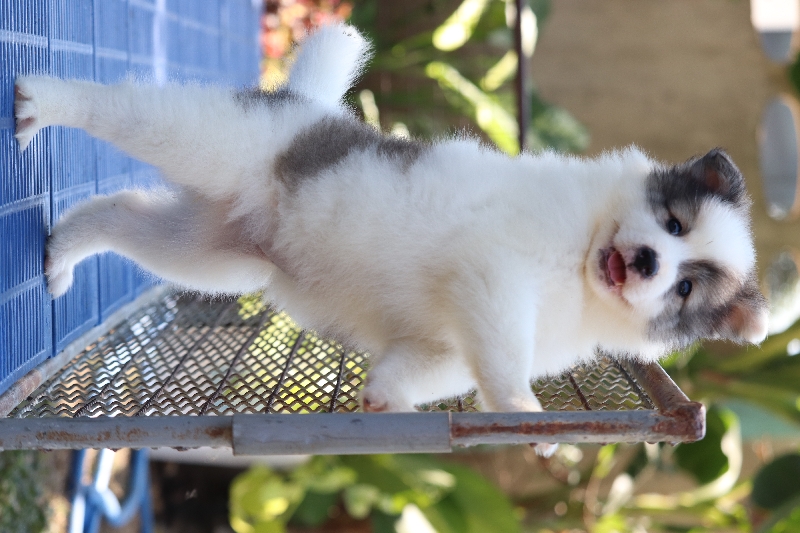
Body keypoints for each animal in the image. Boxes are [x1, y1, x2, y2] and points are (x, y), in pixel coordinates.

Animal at [14, 24, 768, 455]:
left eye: (685, 287)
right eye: (673, 224)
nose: (645, 260)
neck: (581, 263)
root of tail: (309, 108)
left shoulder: (445, 336)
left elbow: (432, 366)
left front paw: (385, 398)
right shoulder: (495, 279)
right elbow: (502, 361)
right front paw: (523, 412)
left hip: (217, 254)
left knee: (126, 213)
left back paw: (60, 257)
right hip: (215, 142)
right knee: (126, 108)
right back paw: (45, 100)